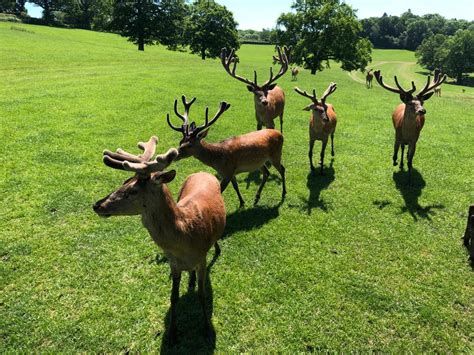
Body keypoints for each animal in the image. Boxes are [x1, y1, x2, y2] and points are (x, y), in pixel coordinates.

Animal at [93, 136, 227, 344]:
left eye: (133, 190)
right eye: (124, 181)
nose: (97, 205)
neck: (186, 235)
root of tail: (202, 171)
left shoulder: (202, 259)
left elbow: (202, 294)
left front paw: (206, 328)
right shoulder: (173, 263)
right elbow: (173, 296)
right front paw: (172, 333)